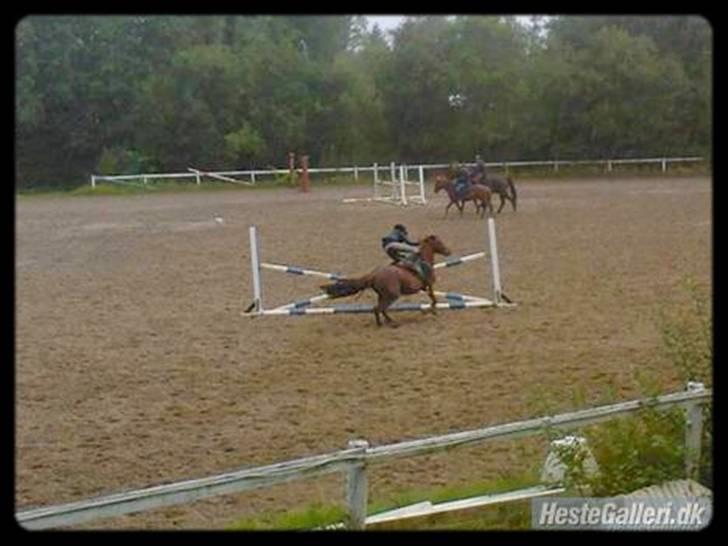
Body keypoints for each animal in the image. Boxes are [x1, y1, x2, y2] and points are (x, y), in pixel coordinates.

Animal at [322, 233, 452, 326]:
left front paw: (430, 311)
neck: (424, 260)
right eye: (439, 242)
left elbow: (433, 299)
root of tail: (374, 275)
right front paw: (430, 311)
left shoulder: (426, 287)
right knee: (380, 309)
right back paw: (390, 323)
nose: (448, 251)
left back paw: (384, 322)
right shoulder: (429, 285)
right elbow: (434, 299)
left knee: (377, 309)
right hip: (392, 295)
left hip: (382, 295)